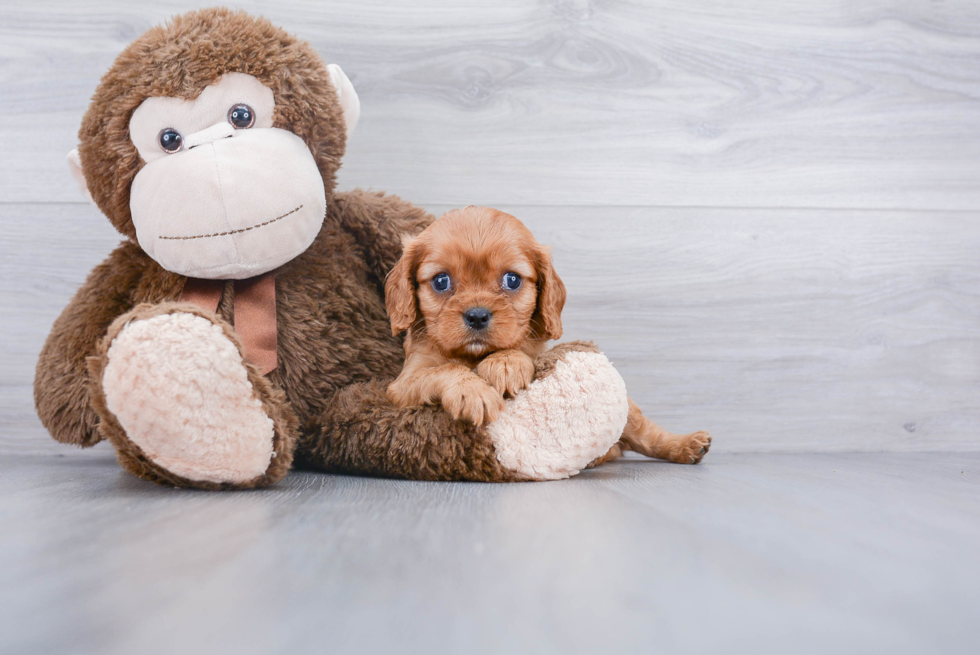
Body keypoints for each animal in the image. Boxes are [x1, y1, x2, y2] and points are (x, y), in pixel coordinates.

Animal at [386, 206, 716, 466]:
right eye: (441, 281)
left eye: (512, 279)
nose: (477, 315)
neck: (474, 355)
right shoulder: (401, 386)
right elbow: (442, 370)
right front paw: (474, 391)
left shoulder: (537, 352)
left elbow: (520, 351)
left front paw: (505, 364)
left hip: (631, 414)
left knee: (645, 434)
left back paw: (686, 445)